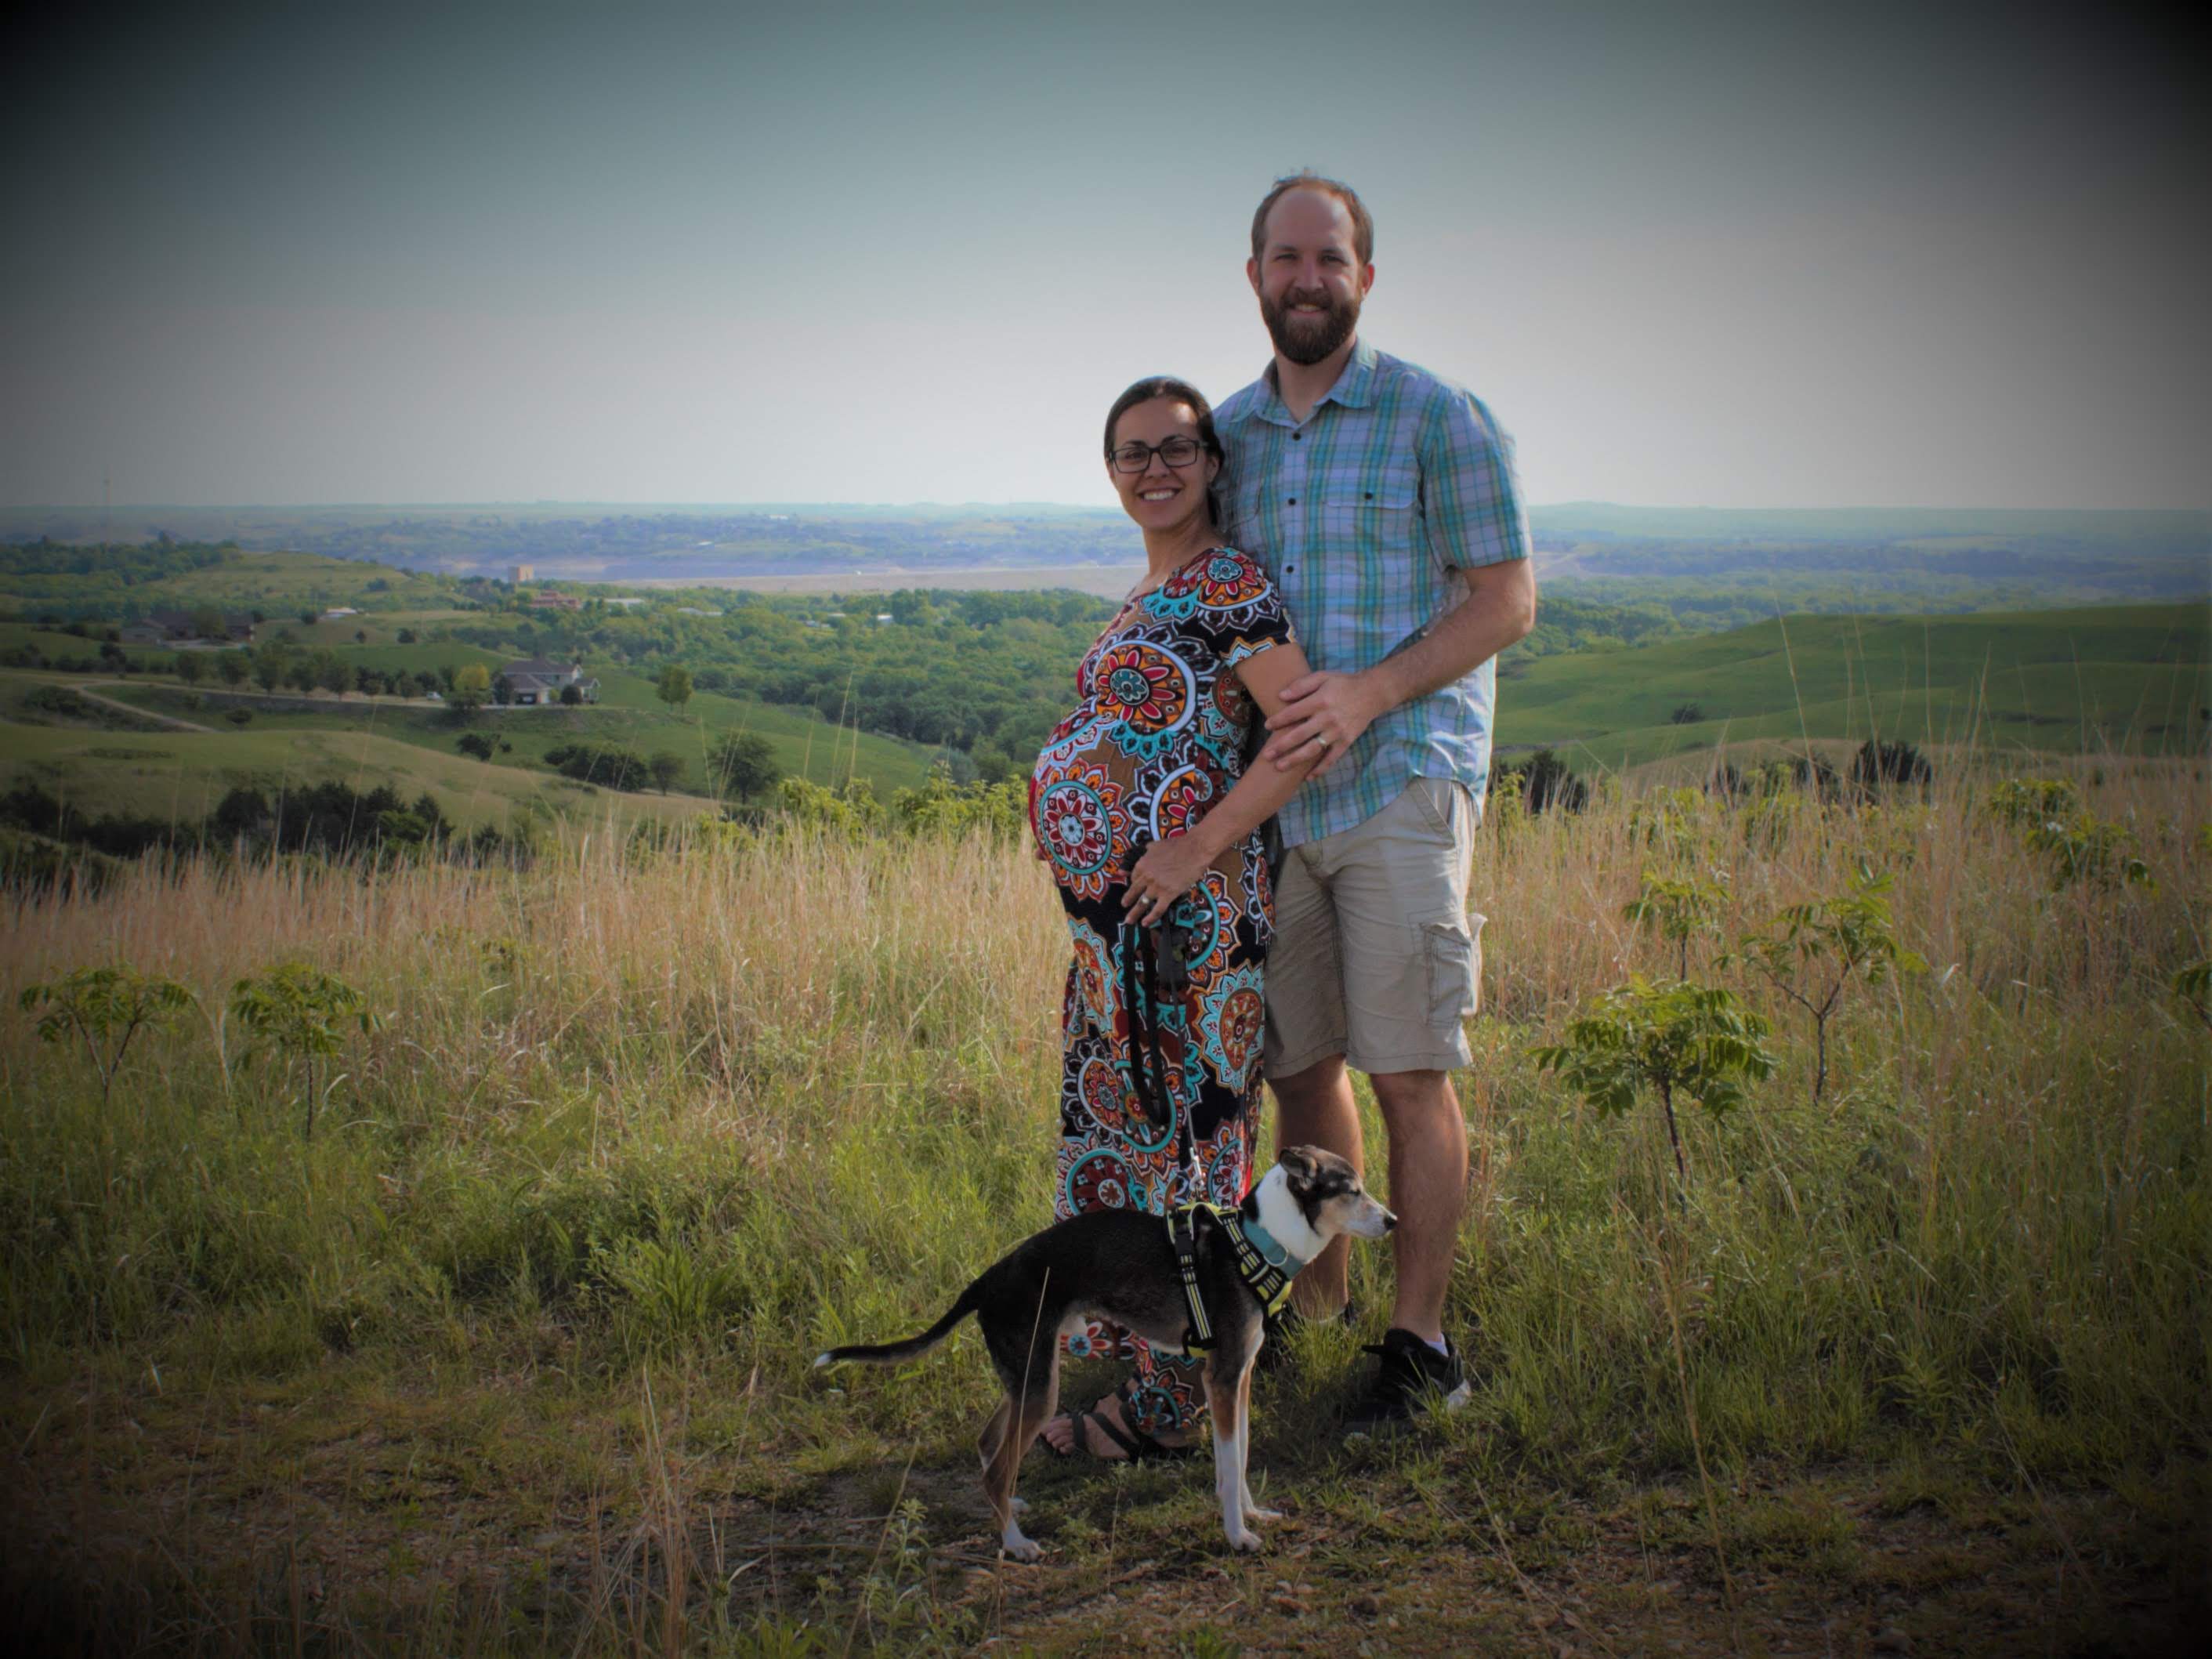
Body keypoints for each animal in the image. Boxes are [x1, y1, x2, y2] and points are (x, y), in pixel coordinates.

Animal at [823, 1150, 1388, 1566]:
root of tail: (986, 1280)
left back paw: (1010, 1509)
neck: (1252, 1242)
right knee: (995, 1468)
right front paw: (1236, 1535)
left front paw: (1253, 1514)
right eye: (1352, 1190)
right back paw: (1015, 1542)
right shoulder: (1223, 1379)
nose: (1394, 1219)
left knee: (988, 1444)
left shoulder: (1240, 1378)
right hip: (1040, 1386)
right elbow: (1229, 1465)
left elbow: (1241, 1457)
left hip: (1028, 1376)